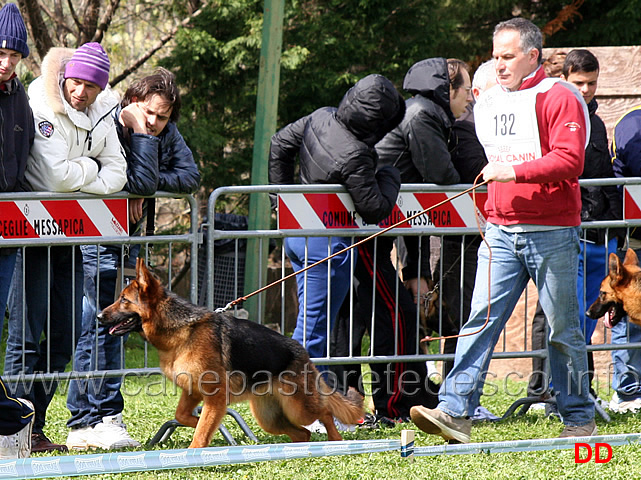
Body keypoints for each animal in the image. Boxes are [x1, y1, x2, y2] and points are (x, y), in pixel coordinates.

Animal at [97, 256, 362, 448]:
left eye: (123, 300)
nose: (98, 316)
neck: (182, 331)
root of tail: (303, 353)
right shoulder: (193, 391)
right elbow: (185, 417)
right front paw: (198, 423)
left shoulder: (214, 396)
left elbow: (201, 433)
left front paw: (193, 452)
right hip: (270, 419)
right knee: (303, 433)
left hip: (298, 408)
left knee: (325, 412)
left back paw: (336, 440)